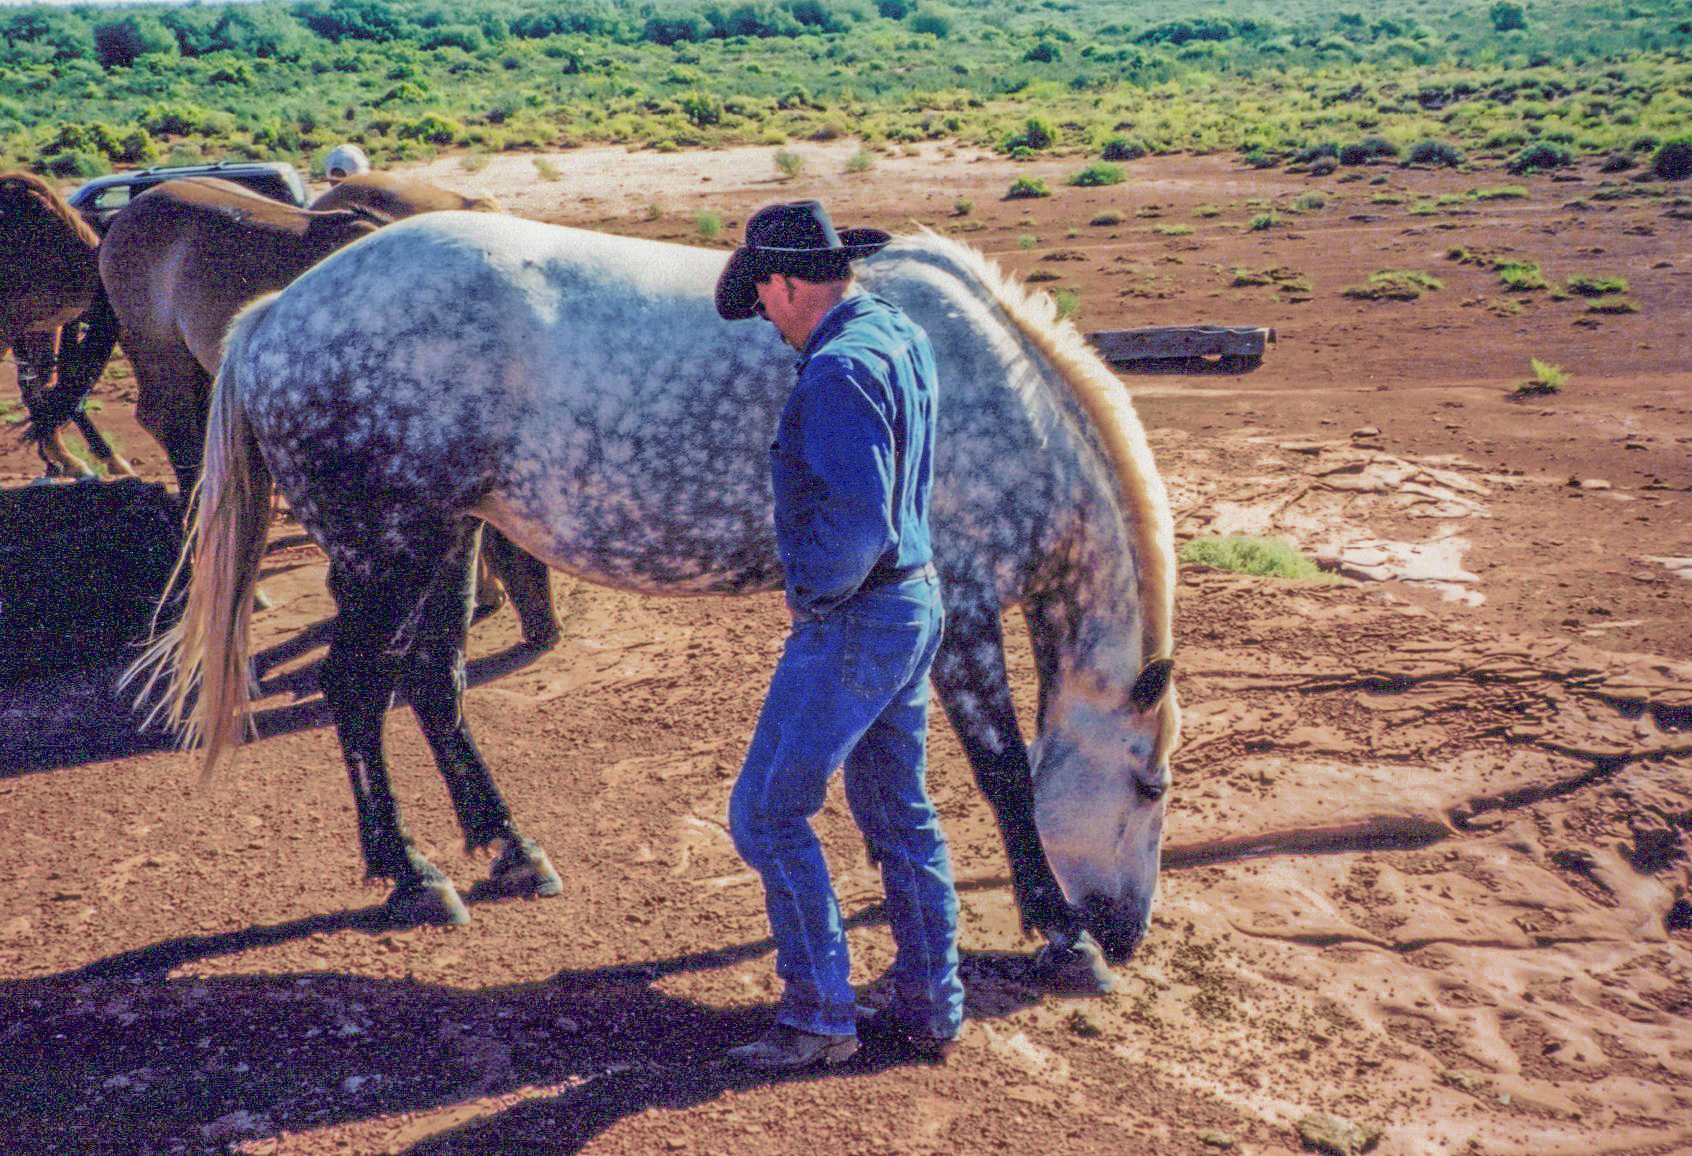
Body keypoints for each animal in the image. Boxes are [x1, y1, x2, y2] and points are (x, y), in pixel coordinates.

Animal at [133, 213, 1179, 971]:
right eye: (1150, 781)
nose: (1126, 930)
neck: (978, 382)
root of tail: (275, 316)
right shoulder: (959, 608)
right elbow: (1002, 772)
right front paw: (1059, 931)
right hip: (385, 556)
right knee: (356, 692)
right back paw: (411, 877)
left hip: (447, 542)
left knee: (432, 685)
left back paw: (509, 848)